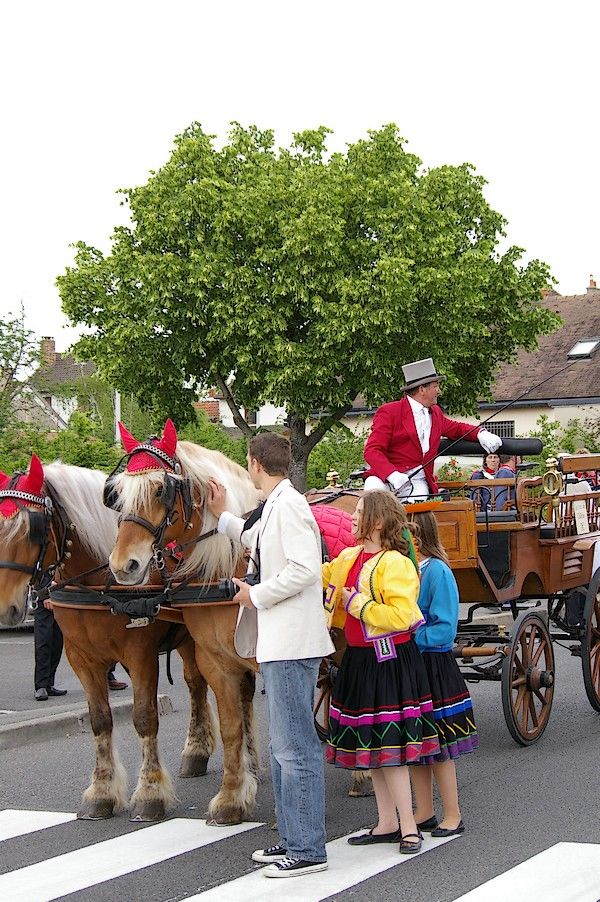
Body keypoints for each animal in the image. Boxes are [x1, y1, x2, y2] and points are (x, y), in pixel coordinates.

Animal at [0, 456, 217, 824]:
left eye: (33, 529)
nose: (5, 607)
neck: (101, 585)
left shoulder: (140, 654)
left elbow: (144, 717)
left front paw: (149, 794)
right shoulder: (82, 659)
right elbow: (100, 720)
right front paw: (101, 792)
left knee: (196, 683)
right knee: (195, 684)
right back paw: (196, 753)